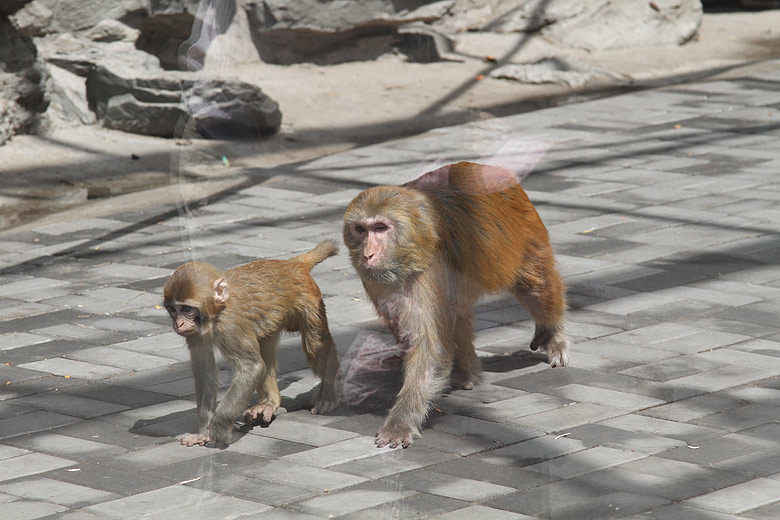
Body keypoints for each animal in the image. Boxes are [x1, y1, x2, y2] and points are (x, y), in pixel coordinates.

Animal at [162, 240, 340, 447]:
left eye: (186, 309)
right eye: (173, 309)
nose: (179, 324)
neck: (217, 313)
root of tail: (292, 264)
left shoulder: (230, 327)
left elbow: (252, 367)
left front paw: (217, 430)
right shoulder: (196, 334)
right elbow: (204, 369)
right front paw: (204, 431)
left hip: (310, 301)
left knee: (314, 348)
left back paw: (330, 393)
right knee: (264, 347)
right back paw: (270, 403)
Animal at [343, 161, 569, 448]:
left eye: (380, 228)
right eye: (361, 229)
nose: (367, 254)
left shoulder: (432, 269)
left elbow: (430, 348)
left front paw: (400, 423)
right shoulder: (375, 279)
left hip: (523, 234)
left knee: (534, 286)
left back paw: (553, 334)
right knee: (458, 313)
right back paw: (467, 372)